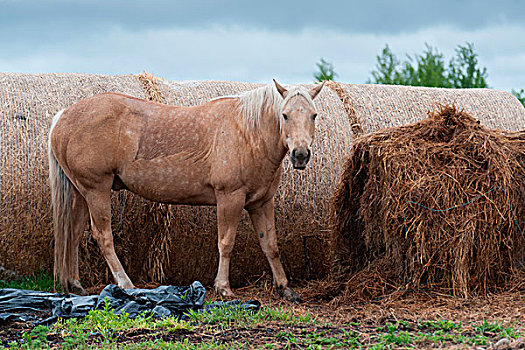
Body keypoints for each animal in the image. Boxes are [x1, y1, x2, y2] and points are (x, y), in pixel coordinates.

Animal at [48, 78, 324, 300]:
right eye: (285, 115)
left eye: (313, 115)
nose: (300, 155)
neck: (247, 133)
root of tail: (63, 116)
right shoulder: (230, 198)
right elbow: (226, 243)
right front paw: (223, 288)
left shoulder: (262, 203)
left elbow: (271, 245)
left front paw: (285, 288)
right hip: (96, 190)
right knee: (103, 236)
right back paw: (126, 284)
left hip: (81, 192)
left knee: (73, 233)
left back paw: (75, 284)